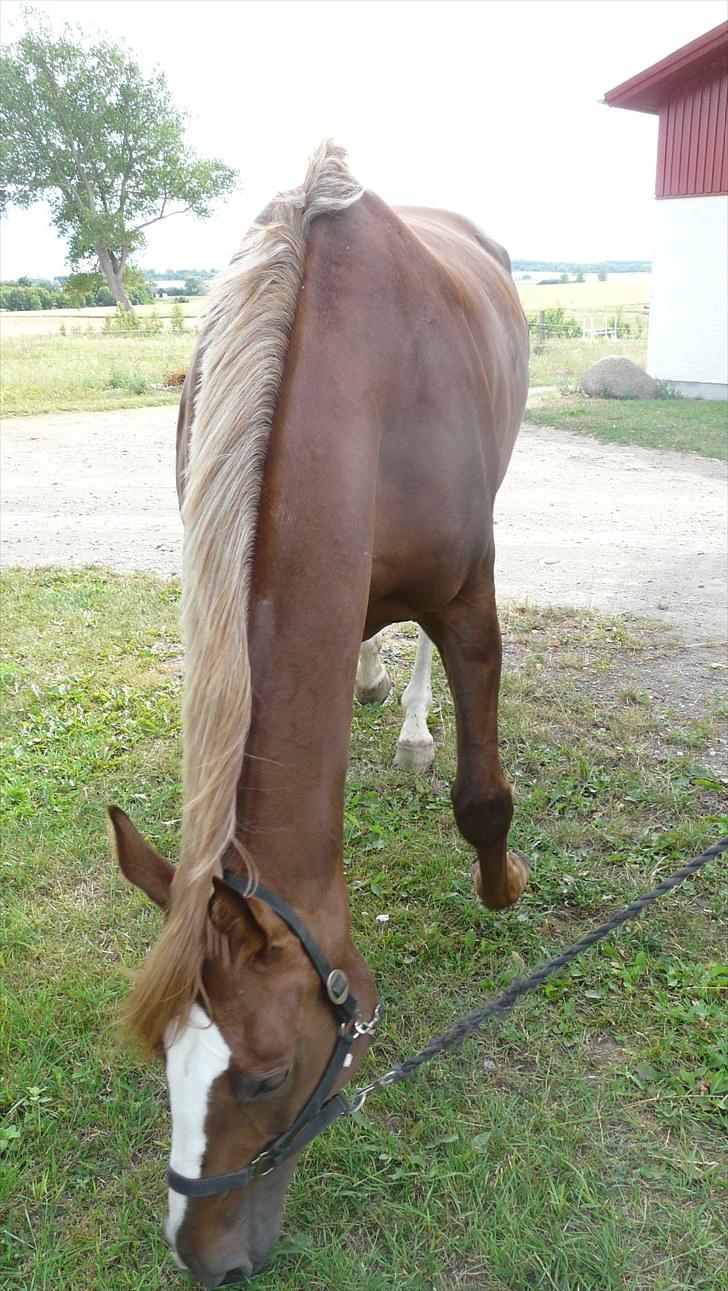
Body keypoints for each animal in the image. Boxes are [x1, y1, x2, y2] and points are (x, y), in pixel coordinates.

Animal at [107, 141, 529, 1280]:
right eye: (161, 1062)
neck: (365, 374)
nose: (201, 1258)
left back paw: (414, 725)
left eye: (261, 1076)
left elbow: (481, 793)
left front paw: (499, 887)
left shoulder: (467, 598)